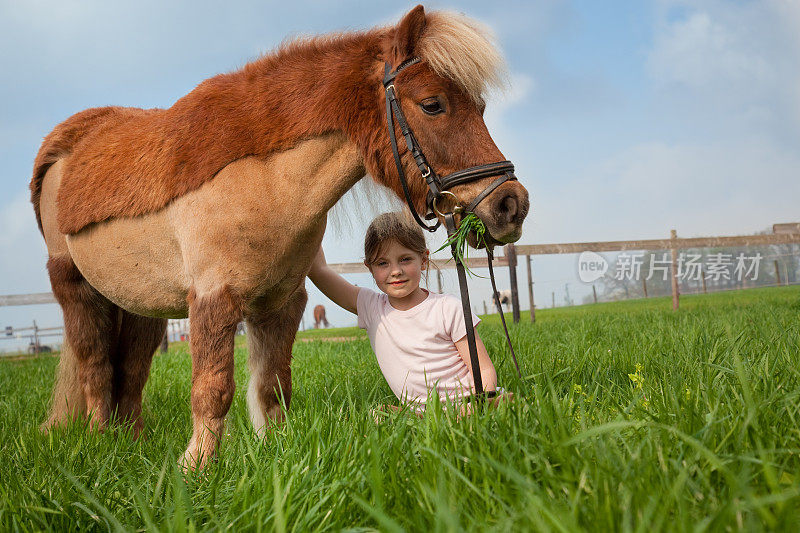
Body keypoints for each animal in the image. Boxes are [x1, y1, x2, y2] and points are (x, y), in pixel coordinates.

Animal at [31, 5, 528, 470]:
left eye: (481, 108)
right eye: (432, 104)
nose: (511, 205)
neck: (266, 182)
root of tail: (62, 149)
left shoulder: (280, 302)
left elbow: (272, 385)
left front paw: (274, 448)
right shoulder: (213, 299)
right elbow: (213, 388)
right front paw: (197, 468)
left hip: (139, 304)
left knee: (131, 370)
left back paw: (133, 440)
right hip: (76, 288)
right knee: (95, 366)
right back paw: (101, 439)